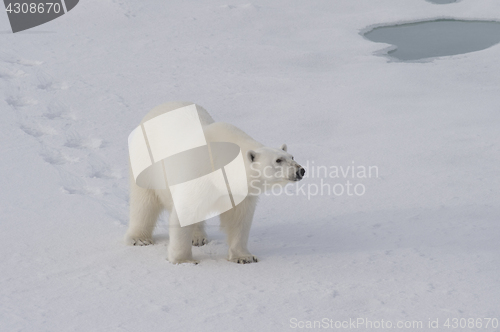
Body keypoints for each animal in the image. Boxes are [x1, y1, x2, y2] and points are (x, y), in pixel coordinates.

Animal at [125, 101, 304, 264]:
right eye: (278, 160)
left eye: (292, 156)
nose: (300, 170)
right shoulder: (199, 173)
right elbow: (185, 209)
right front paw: (183, 260)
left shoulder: (238, 191)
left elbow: (239, 220)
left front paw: (244, 257)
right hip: (146, 163)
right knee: (144, 202)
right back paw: (139, 238)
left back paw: (197, 237)